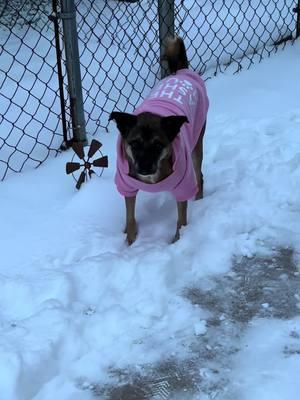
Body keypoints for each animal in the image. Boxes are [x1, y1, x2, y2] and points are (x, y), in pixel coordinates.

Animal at [109, 37, 209, 244]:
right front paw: (130, 241)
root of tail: (181, 72)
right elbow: (130, 217)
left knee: (199, 175)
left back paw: (199, 199)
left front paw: (179, 241)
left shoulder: (183, 185)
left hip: (197, 140)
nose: (144, 168)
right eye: (134, 143)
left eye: (158, 144)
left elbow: (181, 219)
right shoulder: (126, 185)